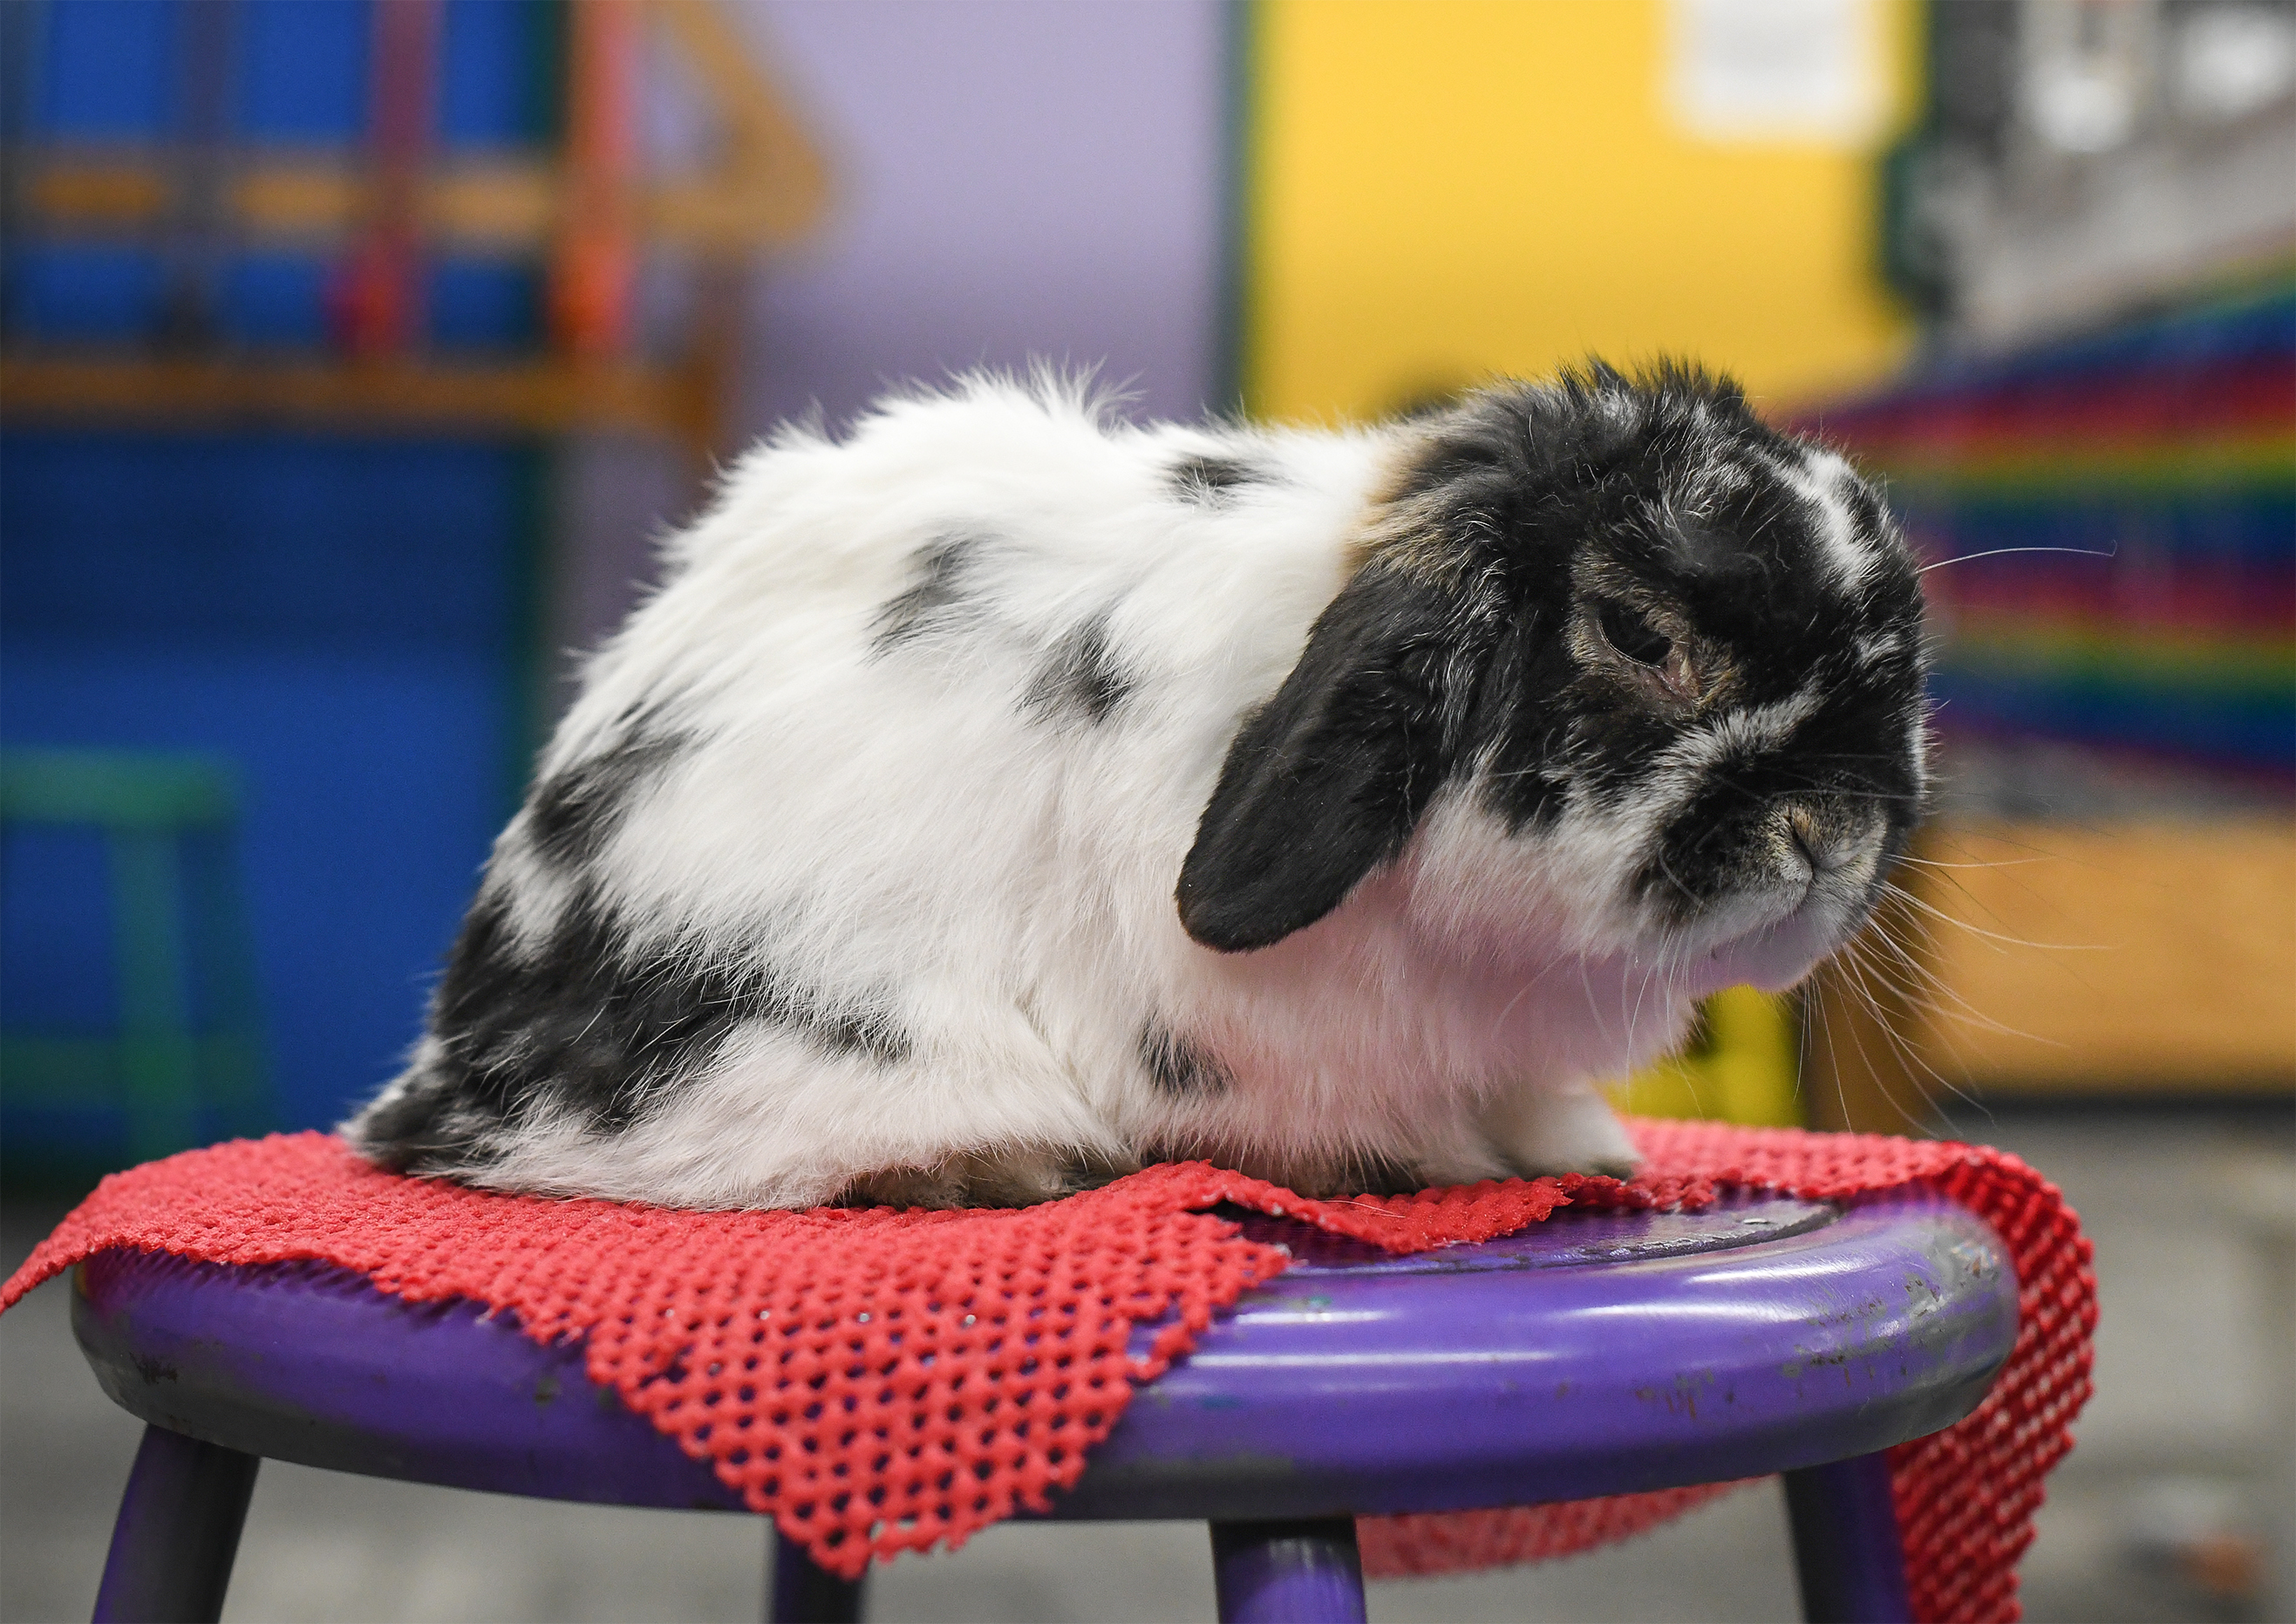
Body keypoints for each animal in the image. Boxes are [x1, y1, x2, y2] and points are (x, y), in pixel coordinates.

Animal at [346, 362, 1929, 1210]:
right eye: (1640, 634)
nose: (1831, 831)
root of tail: (448, 1075)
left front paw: (1579, 1149)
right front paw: (1428, 1166)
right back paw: (1008, 1162)